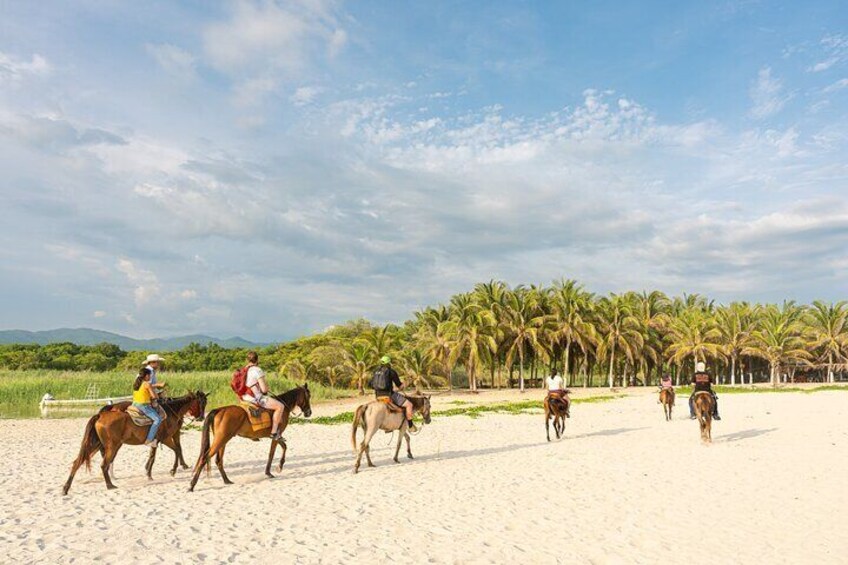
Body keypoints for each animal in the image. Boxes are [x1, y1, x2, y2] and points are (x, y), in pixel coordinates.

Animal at [63, 390, 209, 492]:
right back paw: (110, 485)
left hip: (96, 444)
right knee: (104, 464)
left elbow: (156, 454)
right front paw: (172, 470)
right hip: (113, 446)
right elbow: (176, 449)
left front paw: (149, 472)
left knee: (78, 461)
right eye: (201, 403)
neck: (170, 411)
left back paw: (66, 488)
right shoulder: (166, 438)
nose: (201, 417)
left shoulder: (157, 440)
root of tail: (100, 415)